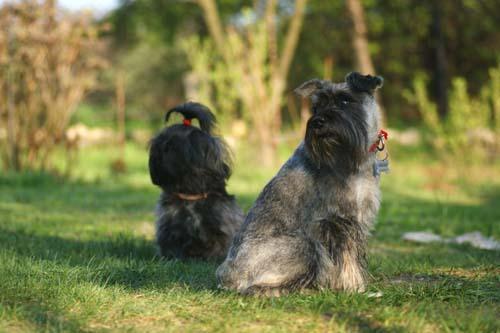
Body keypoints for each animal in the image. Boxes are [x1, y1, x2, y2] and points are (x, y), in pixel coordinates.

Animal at [147, 102, 243, 258]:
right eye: (157, 145)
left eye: (173, 147)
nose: (158, 152)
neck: (190, 195)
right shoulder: (169, 229)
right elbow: (172, 248)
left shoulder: (222, 228)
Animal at [217, 72, 384, 294]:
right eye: (316, 107)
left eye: (345, 100)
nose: (317, 122)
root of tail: (226, 278)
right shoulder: (337, 220)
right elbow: (347, 258)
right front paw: (353, 287)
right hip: (304, 245)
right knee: (256, 288)